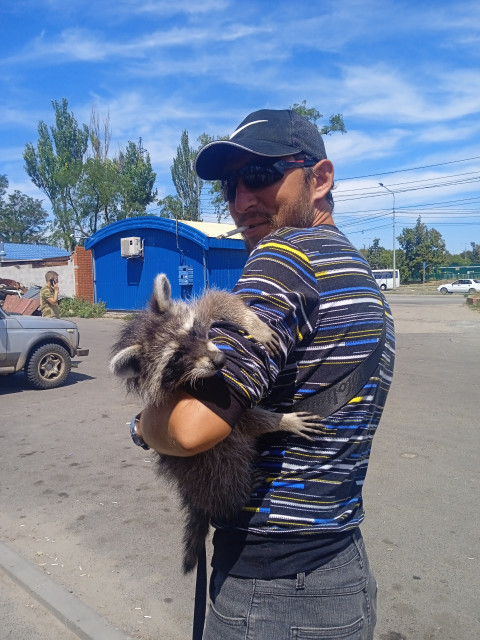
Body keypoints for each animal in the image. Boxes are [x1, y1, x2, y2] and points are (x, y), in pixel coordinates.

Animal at [110, 272, 320, 572]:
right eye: (176, 357)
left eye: (193, 333)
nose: (221, 359)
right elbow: (244, 422)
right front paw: (281, 421)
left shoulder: (202, 319)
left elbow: (218, 301)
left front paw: (253, 323)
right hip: (211, 464)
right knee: (228, 472)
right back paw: (239, 494)